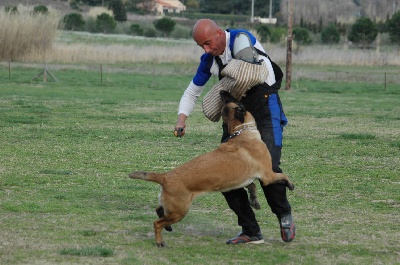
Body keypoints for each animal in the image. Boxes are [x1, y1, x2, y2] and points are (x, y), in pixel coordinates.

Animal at [128, 90, 294, 245]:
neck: (241, 131)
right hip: (179, 211)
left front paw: (254, 201)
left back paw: (167, 228)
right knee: (157, 223)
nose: (222, 91)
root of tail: (165, 176)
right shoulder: (268, 176)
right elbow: (284, 176)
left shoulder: (249, 178)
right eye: (234, 100)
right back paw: (160, 242)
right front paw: (290, 185)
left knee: (158, 210)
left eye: (229, 99)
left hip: (172, 208)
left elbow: (252, 186)